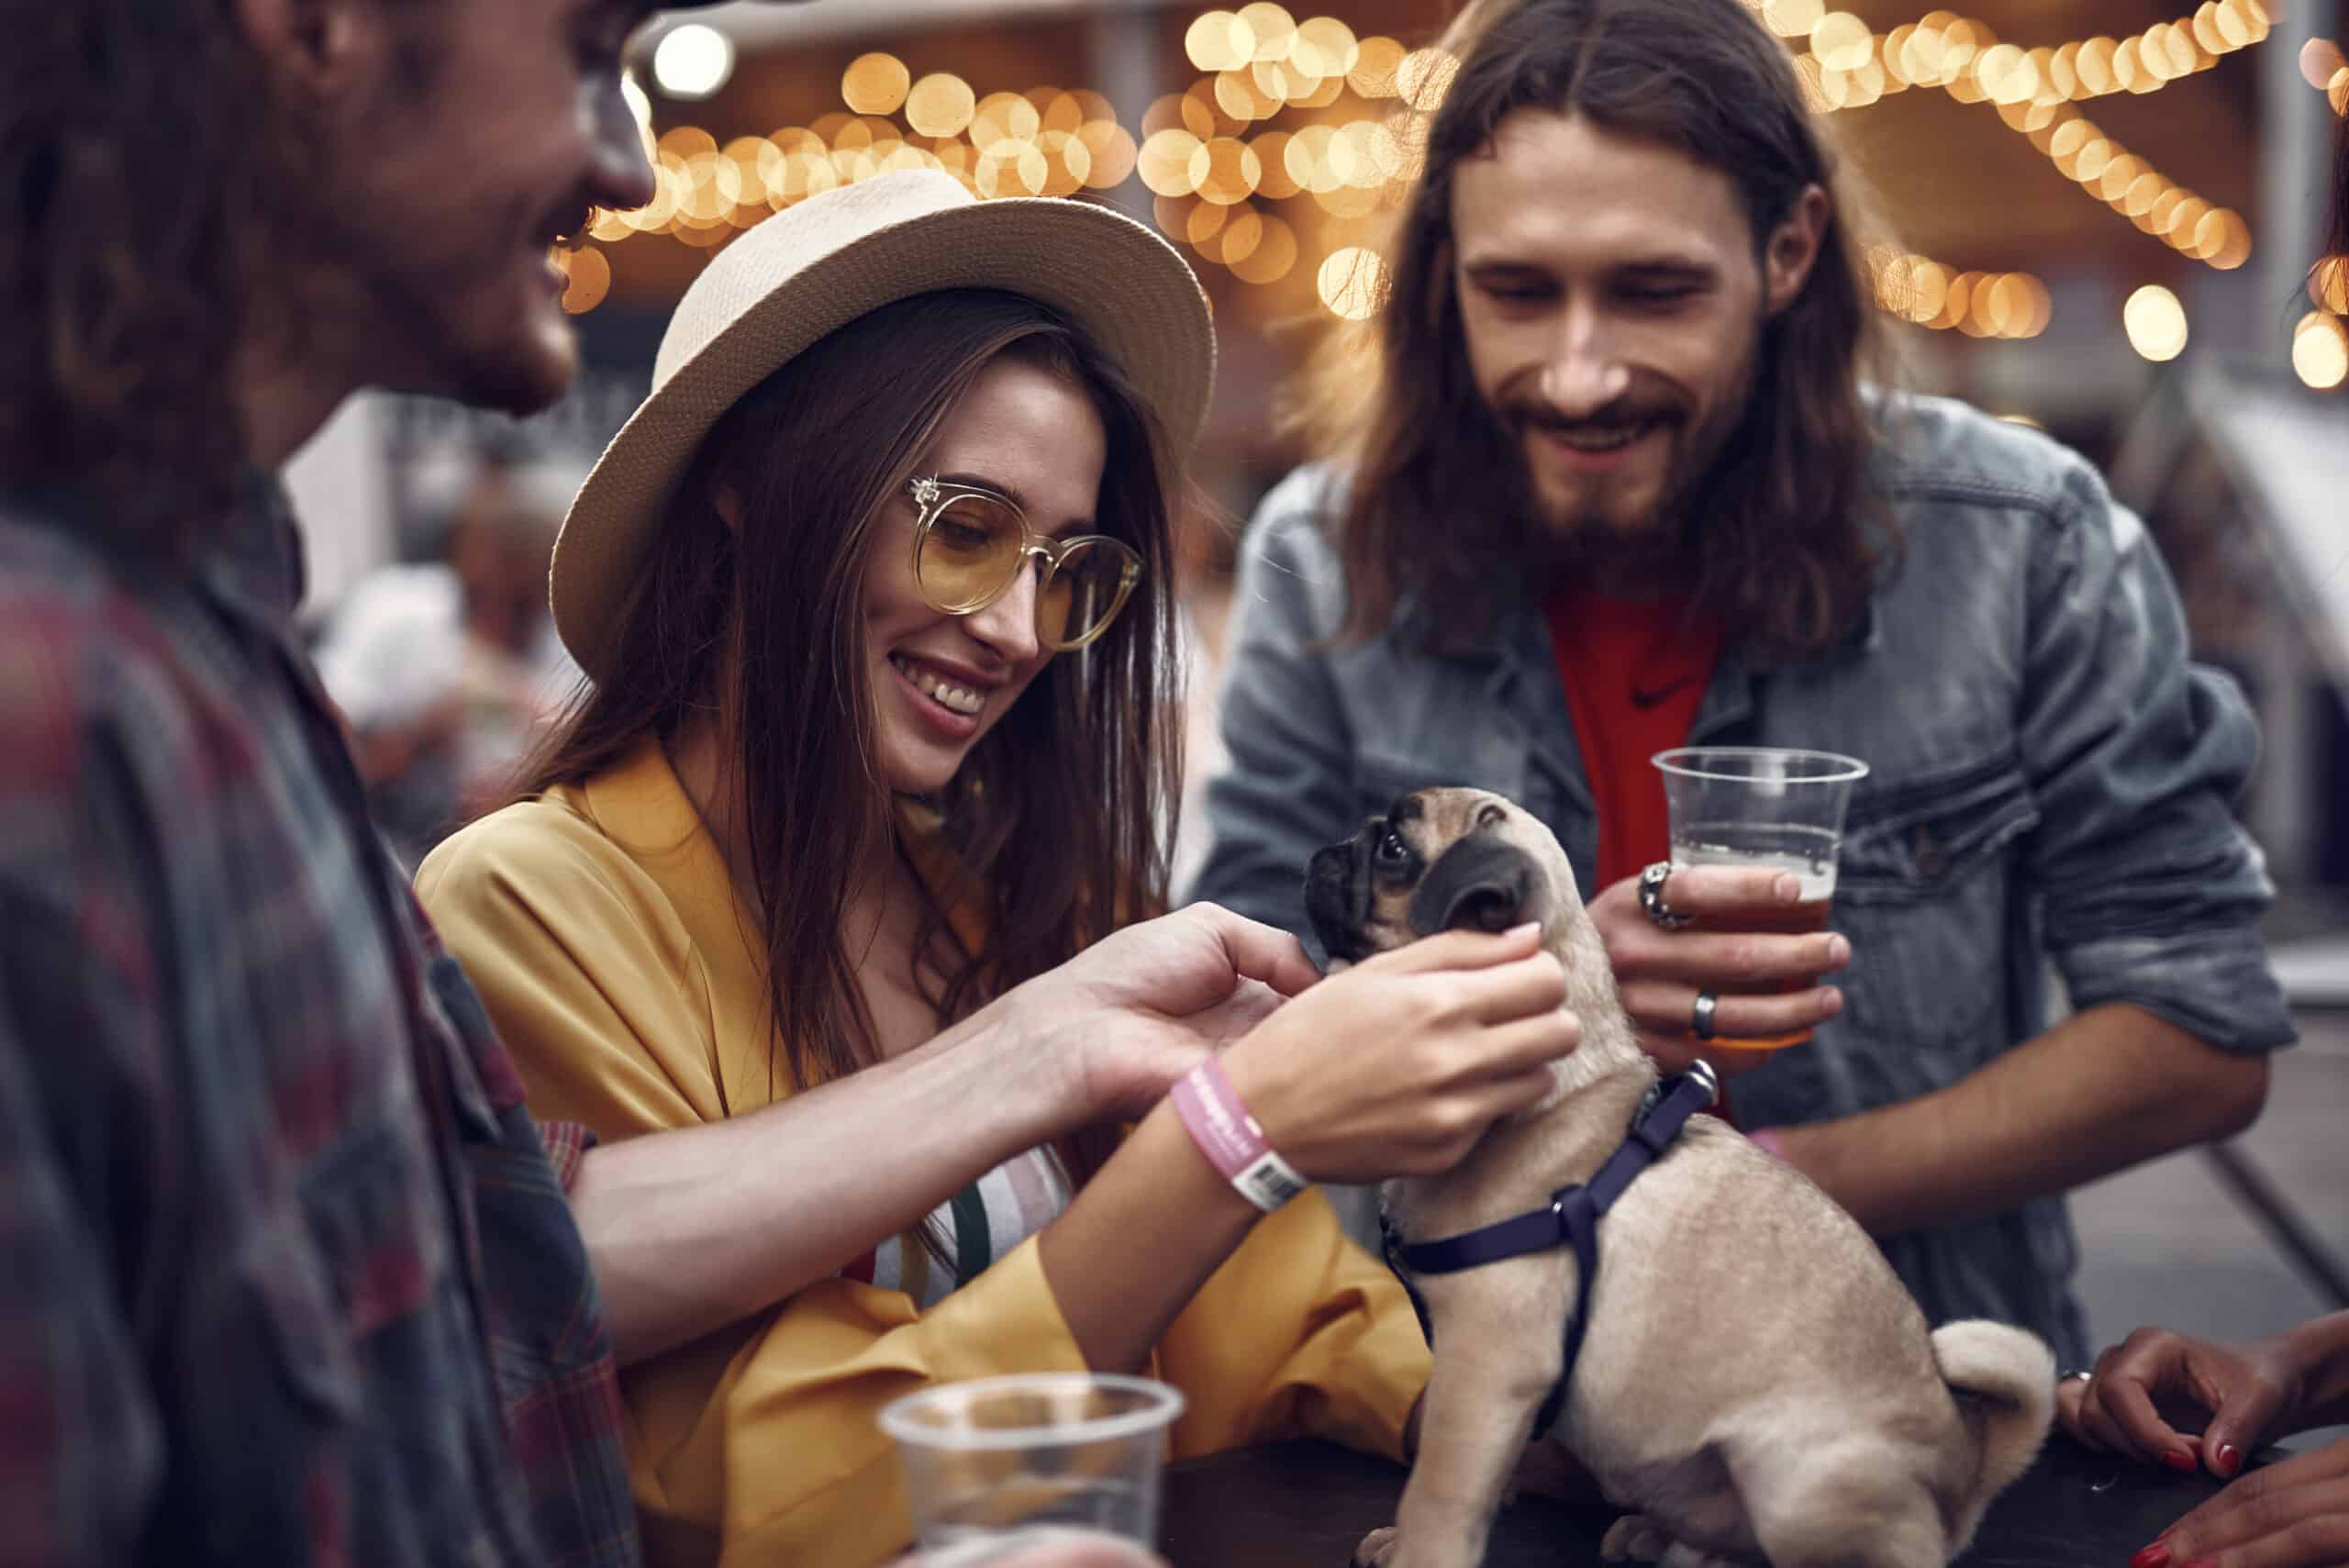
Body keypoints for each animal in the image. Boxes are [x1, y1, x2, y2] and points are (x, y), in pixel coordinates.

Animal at [1306, 788, 2057, 1568]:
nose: (1329, 849)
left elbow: (1438, 1491)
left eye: (1394, 848)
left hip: (1793, 1481)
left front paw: (1417, 1549)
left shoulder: (1486, 1366)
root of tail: (1968, 1465)